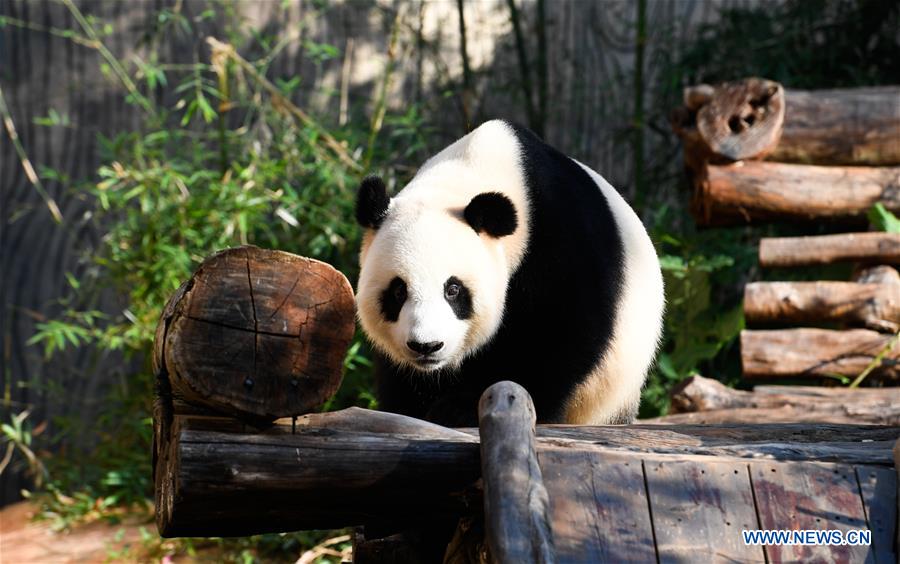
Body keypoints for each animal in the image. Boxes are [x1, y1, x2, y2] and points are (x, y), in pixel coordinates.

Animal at [355, 120, 664, 427]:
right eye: (398, 291)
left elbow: (558, 333)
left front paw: (461, 408)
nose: (426, 346)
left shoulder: (562, 240)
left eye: (453, 289)